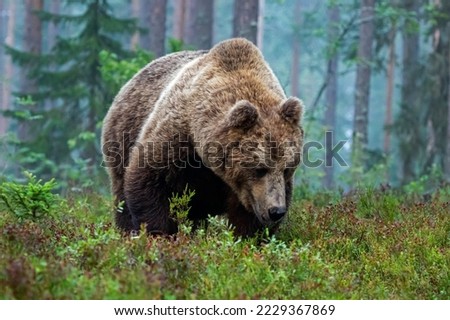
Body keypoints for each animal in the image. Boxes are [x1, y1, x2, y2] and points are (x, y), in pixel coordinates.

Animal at [102, 38, 304, 238]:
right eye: (259, 168)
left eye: (287, 169)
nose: (276, 211)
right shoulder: (177, 136)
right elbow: (149, 179)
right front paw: (159, 233)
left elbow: (248, 217)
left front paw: (249, 236)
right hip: (123, 134)